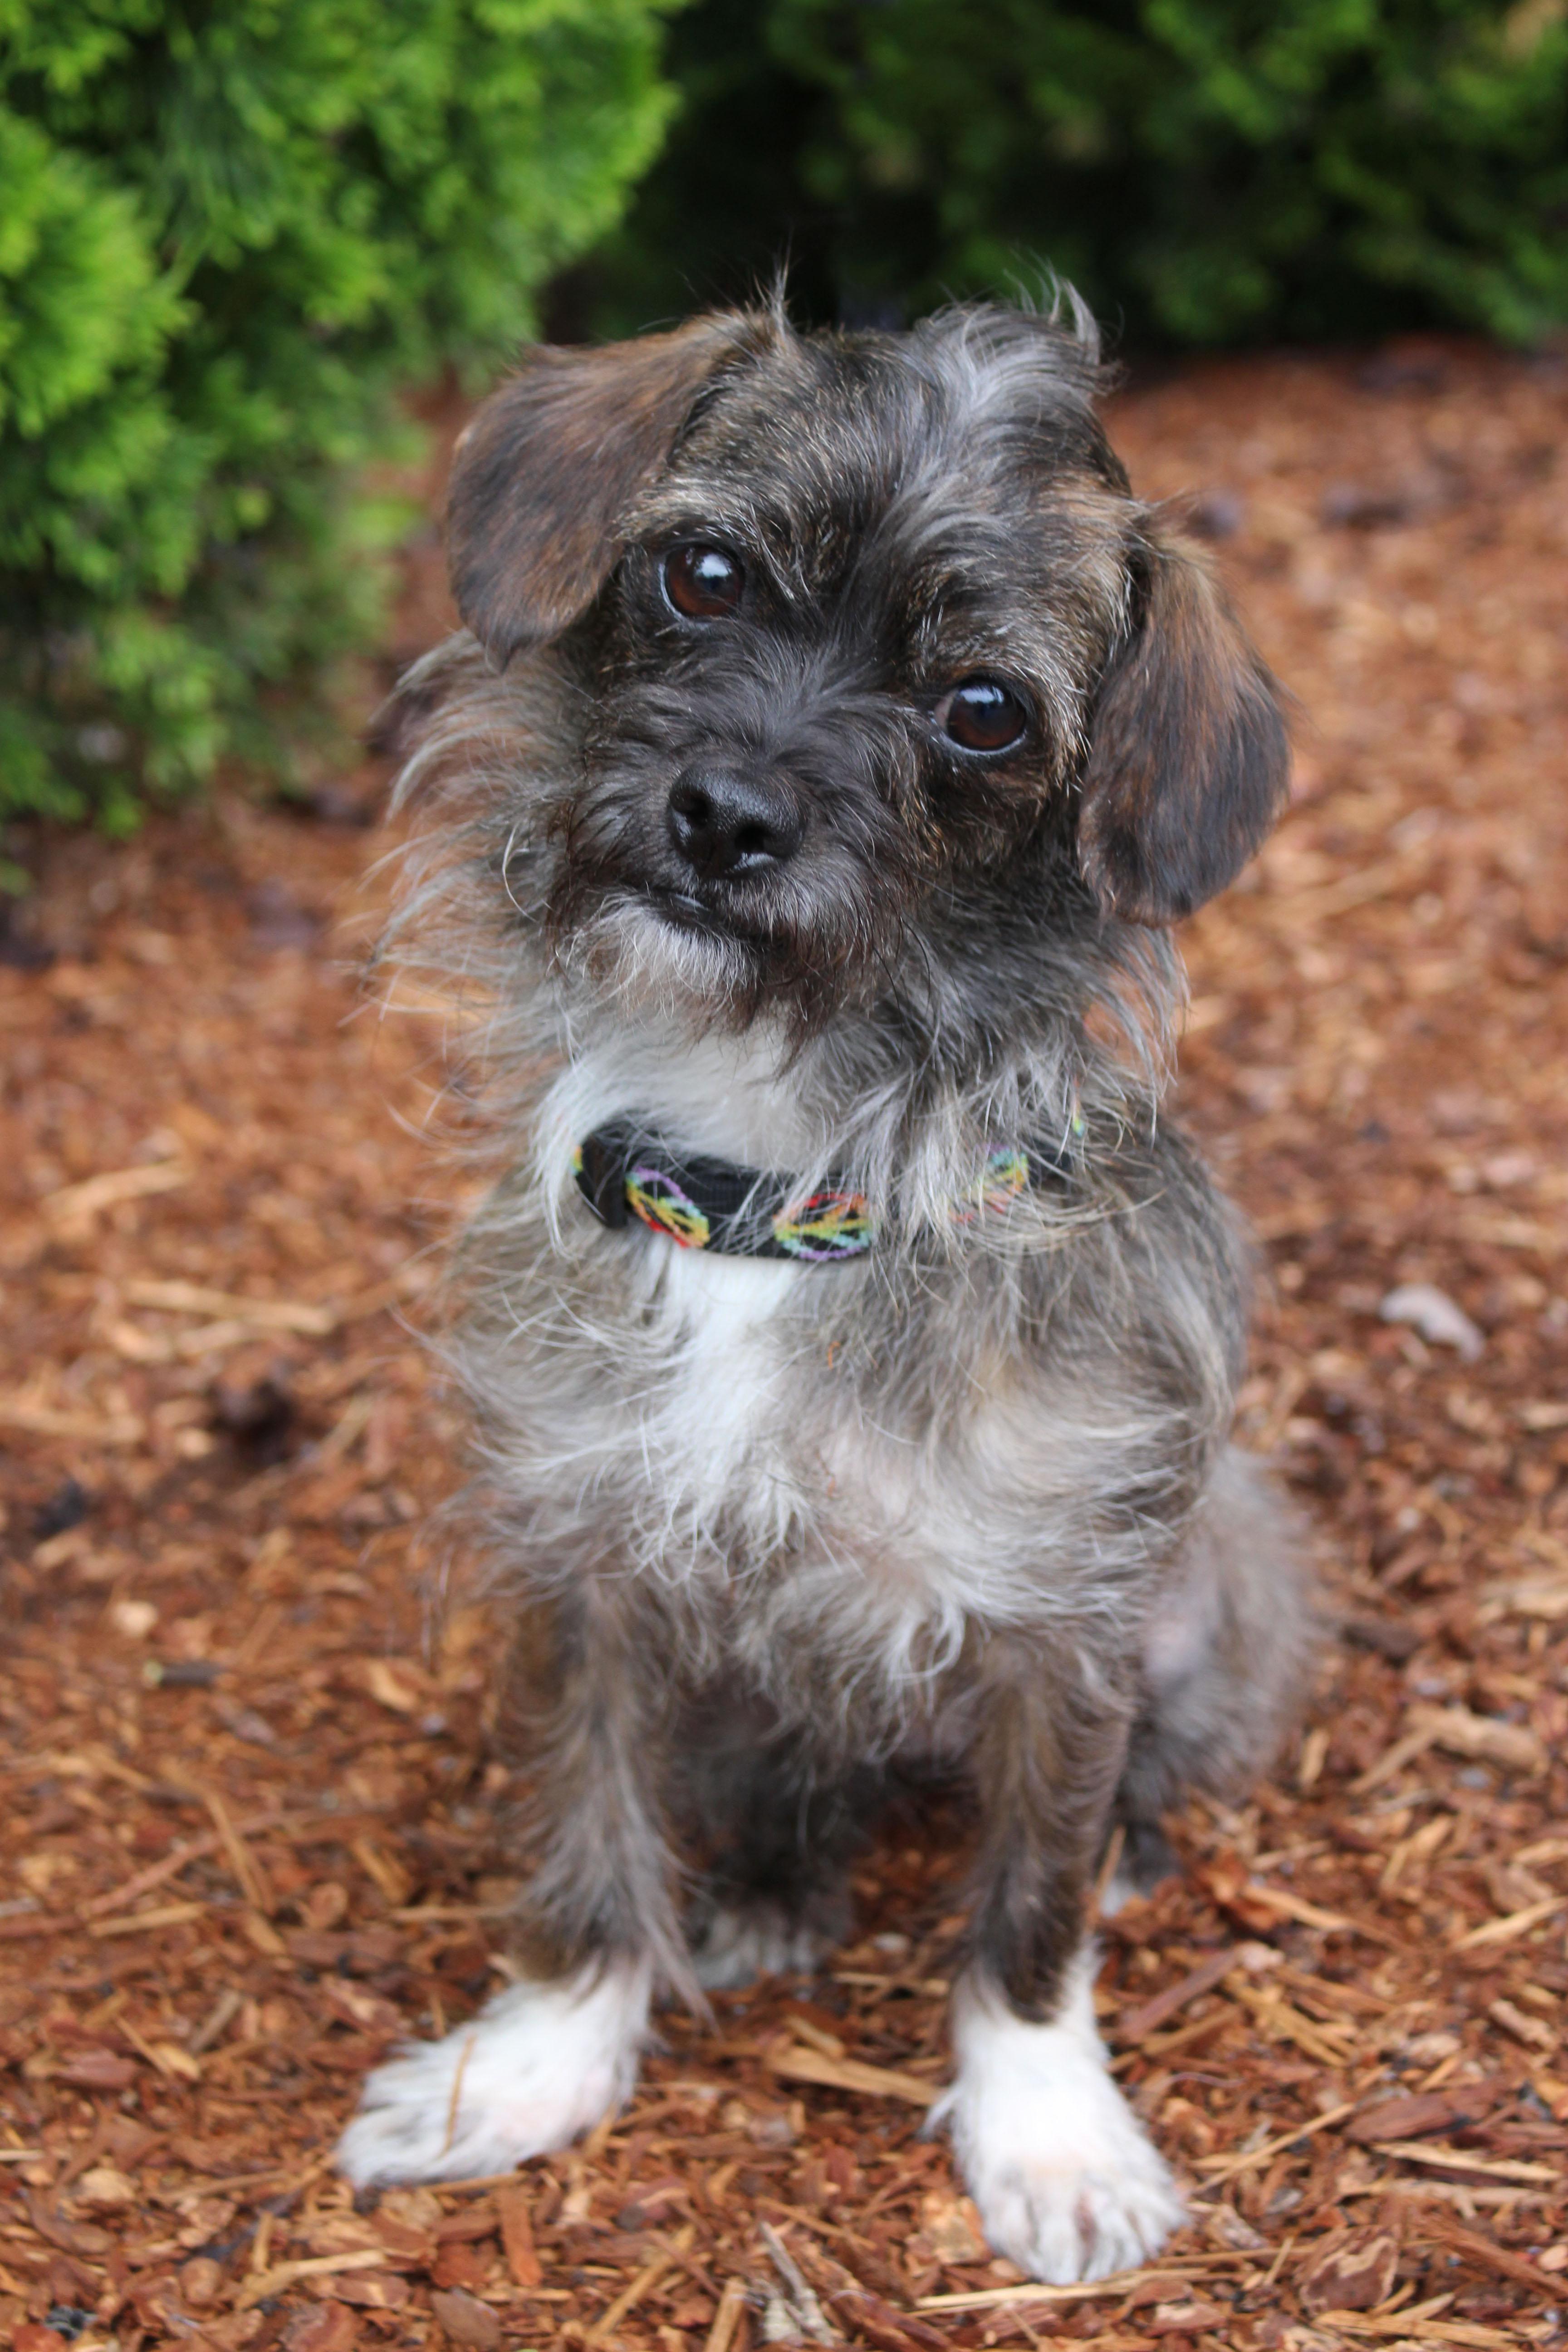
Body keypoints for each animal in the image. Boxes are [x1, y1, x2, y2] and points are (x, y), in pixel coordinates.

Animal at [341, 289, 1316, 2277]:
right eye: (703, 572)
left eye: (982, 712)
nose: (726, 816)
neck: (767, 1188)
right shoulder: (587, 1563)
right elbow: (582, 1841)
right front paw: (533, 2067)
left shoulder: (1067, 1620)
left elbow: (1028, 1913)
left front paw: (1048, 2133)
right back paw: (778, 1882)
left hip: (1215, 1589)